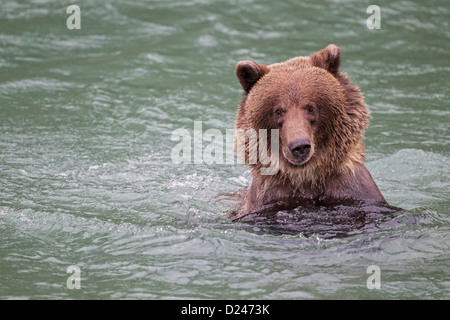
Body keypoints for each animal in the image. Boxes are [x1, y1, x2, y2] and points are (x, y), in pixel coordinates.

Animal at [232, 43, 386, 219]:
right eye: (278, 111)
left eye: (310, 107)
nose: (299, 146)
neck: (306, 178)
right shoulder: (268, 198)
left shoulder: (353, 191)